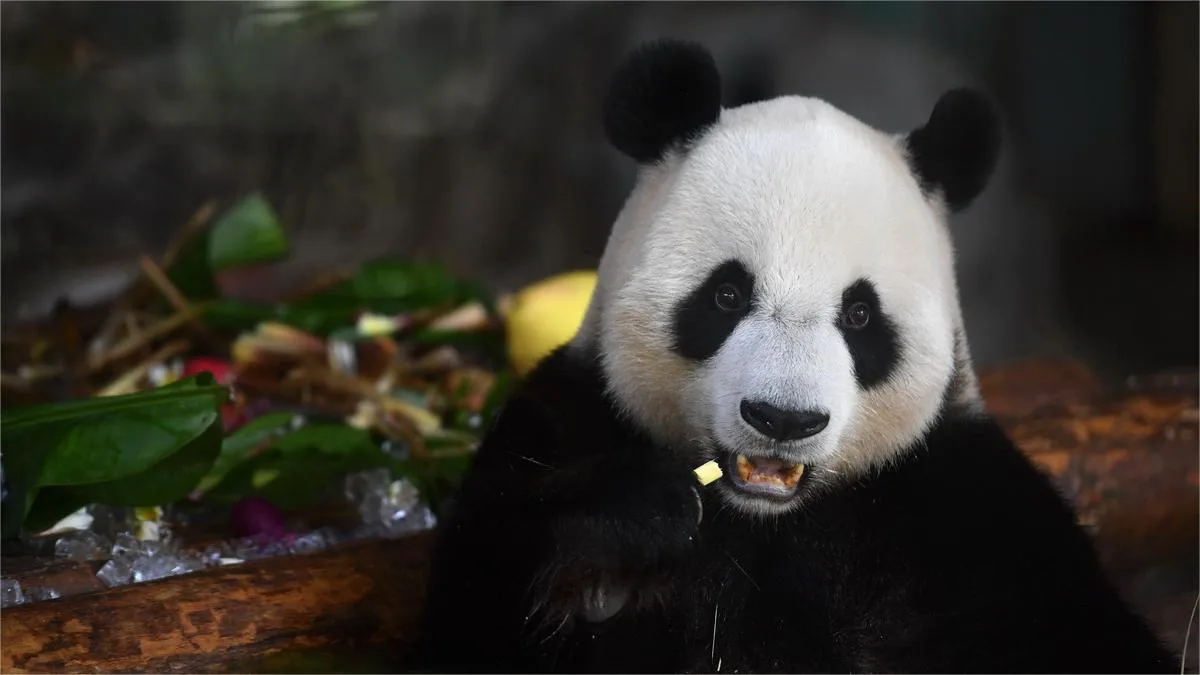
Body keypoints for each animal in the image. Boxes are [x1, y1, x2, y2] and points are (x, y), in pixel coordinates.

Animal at [412, 40, 1175, 674]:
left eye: (860, 315)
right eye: (726, 294)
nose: (782, 419)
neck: (768, 518)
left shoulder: (965, 516)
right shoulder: (564, 419)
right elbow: (472, 606)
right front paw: (633, 524)